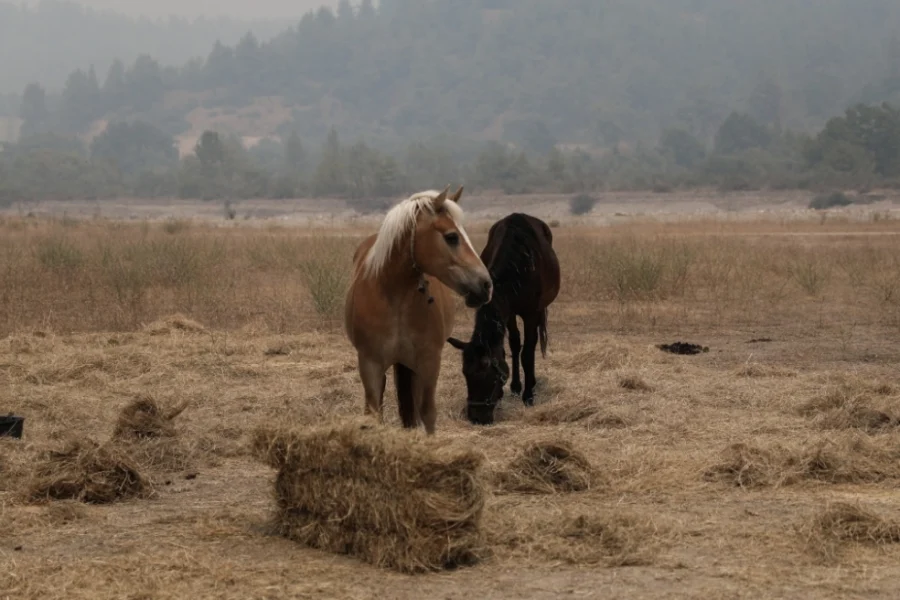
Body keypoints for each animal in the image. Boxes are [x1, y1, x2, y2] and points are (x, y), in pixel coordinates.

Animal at [342, 185, 492, 434]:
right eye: (451, 237)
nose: (486, 285)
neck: (395, 298)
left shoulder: (428, 362)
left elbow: (427, 413)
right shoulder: (370, 364)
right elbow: (374, 414)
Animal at [446, 213, 560, 424]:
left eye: (487, 374)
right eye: (465, 374)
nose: (477, 417)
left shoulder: (531, 313)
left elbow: (527, 352)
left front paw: (528, 395)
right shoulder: (509, 311)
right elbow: (515, 345)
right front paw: (516, 387)